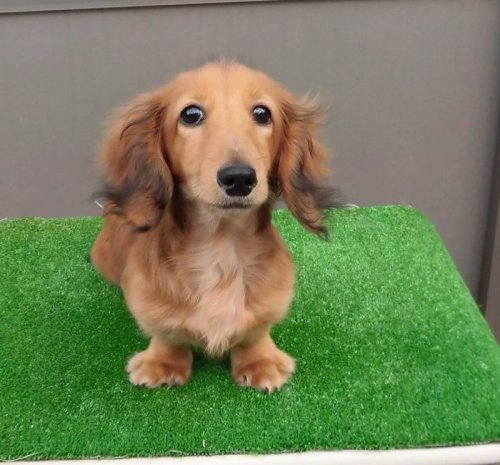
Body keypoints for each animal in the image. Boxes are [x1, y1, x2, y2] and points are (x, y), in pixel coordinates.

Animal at [91, 61, 336, 393]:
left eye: (262, 113)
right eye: (191, 114)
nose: (239, 178)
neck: (223, 245)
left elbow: (254, 334)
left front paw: (260, 361)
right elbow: (167, 335)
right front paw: (163, 363)